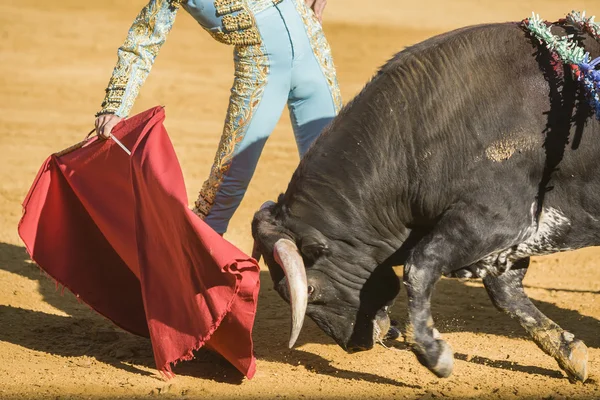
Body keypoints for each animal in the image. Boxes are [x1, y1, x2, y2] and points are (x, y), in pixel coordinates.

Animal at [251, 21, 600, 382]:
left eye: (309, 290)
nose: (352, 344)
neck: (412, 136)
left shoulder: (497, 218)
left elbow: (419, 265)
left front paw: (434, 354)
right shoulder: (504, 240)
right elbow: (505, 293)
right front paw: (570, 353)